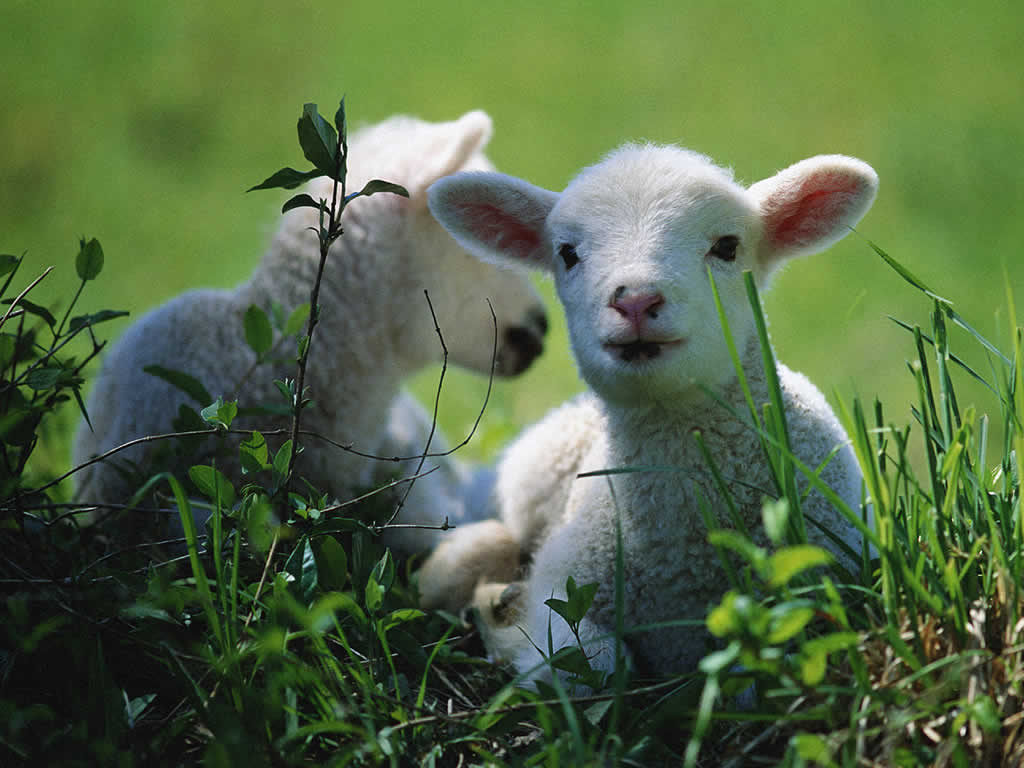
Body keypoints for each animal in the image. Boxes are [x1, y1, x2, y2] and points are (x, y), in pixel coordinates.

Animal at [419, 141, 876, 684]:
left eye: (727, 246)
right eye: (567, 253)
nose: (635, 300)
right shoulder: (563, 585)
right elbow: (594, 663)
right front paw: (507, 626)